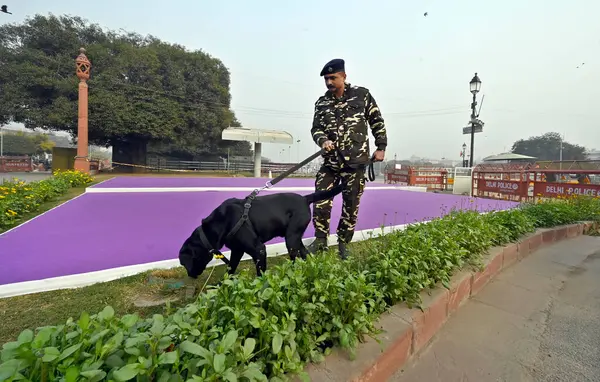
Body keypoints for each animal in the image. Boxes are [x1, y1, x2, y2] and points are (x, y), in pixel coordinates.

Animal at [178, 185, 342, 278]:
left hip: (291, 239)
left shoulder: (259, 250)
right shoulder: (237, 250)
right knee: (305, 254)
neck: (221, 222)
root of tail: (305, 198)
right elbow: (230, 269)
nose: (190, 275)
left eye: (184, 262)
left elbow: (260, 274)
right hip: (294, 238)